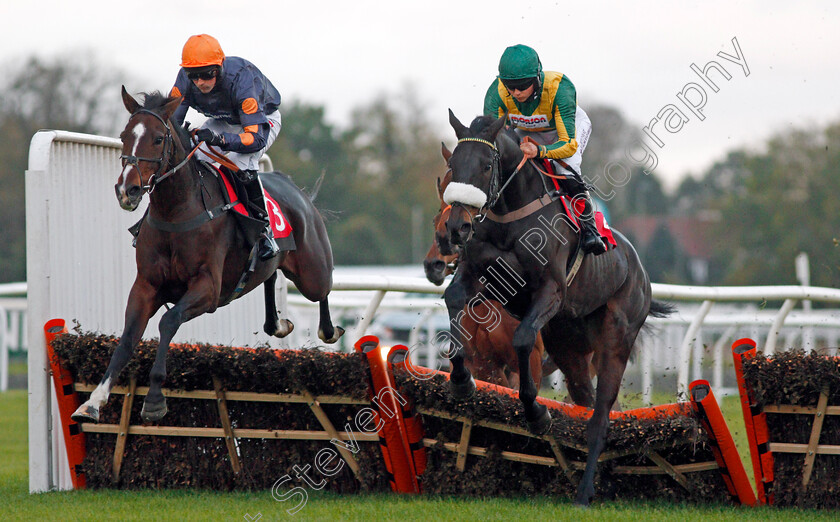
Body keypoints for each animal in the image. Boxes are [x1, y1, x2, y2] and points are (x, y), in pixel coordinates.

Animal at [72, 87, 344, 422]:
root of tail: (297, 190)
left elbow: (168, 321)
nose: (127, 190)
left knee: (323, 289)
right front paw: (93, 402)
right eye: (124, 136)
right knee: (270, 276)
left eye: (158, 139)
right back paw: (279, 324)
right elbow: (127, 338)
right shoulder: (146, 286)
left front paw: (154, 399)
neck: (177, 212)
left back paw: (328, 331)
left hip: (312, 271)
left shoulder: (207, 288)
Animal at [442, 110, 672, 504]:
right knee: (584, 399)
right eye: (453, 165)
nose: (457, 227)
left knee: (601, 414)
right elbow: (454, 302)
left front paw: (536, 414)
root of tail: (638, 268)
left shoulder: (551, 290)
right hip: (570, 348)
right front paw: (460, 381)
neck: (510, 215)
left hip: (617, 338)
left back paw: (585, 490)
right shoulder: (479, 277)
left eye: (487, 165)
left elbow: (522, 340)